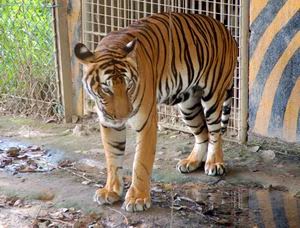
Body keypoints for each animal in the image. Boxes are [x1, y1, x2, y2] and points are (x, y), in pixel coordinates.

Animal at [74, 12, 237, 212]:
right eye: (106, 89)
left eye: (128, 86)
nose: (124, 117)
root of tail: (225, 28)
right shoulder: (108, 123)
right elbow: (112, 157)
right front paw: (111, 190)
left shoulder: (146, 121)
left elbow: (140, 162)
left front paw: (137, 198)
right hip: (188, 106)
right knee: (202, 133)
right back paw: (191, 162)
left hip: (213, 96)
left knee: (215, 132)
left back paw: (214, 163)